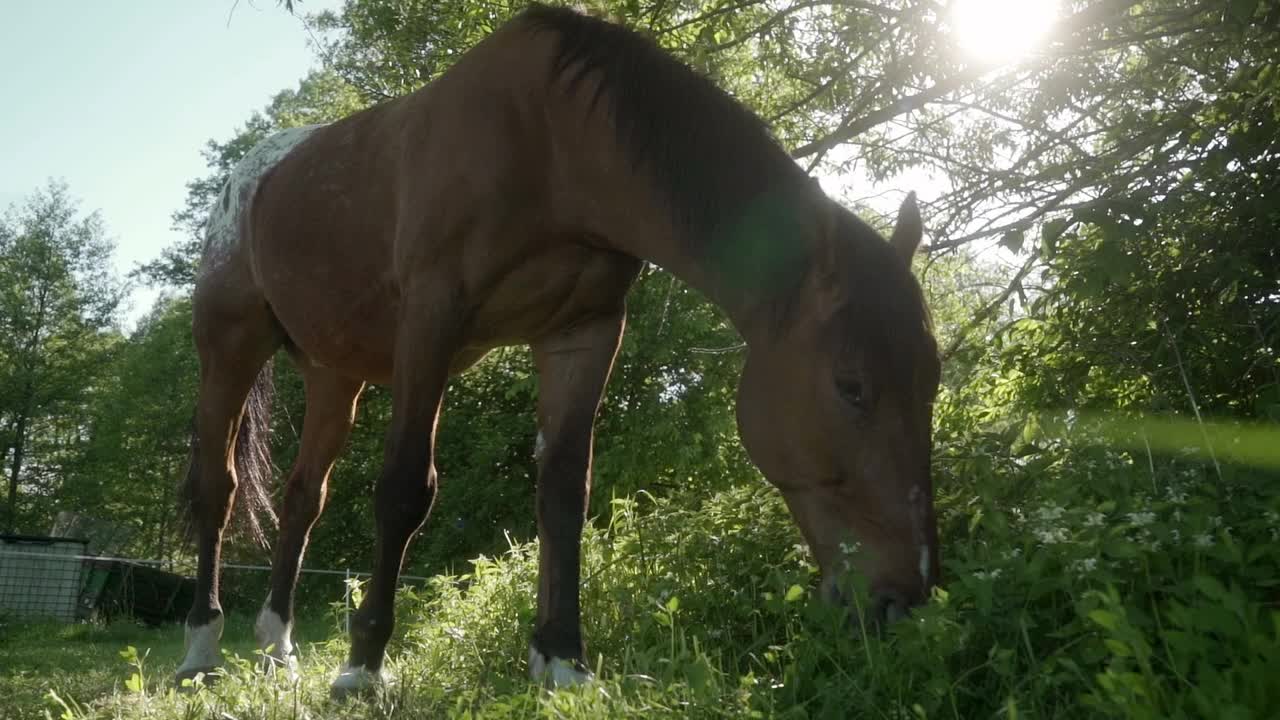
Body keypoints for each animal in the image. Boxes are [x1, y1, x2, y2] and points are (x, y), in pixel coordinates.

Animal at [175, 2, 942, 691]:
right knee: (218, 489)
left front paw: (563, 658)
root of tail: (250, 176)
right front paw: (363, 665)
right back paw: (201, 649)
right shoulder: (431, 319)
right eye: (851, 386)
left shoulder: (584, 333)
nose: (906, 597)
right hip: (230, 346)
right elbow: (404, 489)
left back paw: (277, 649)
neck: (548, 141)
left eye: (933, 380)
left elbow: (565, 492)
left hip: (335, 375)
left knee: (304, 498)